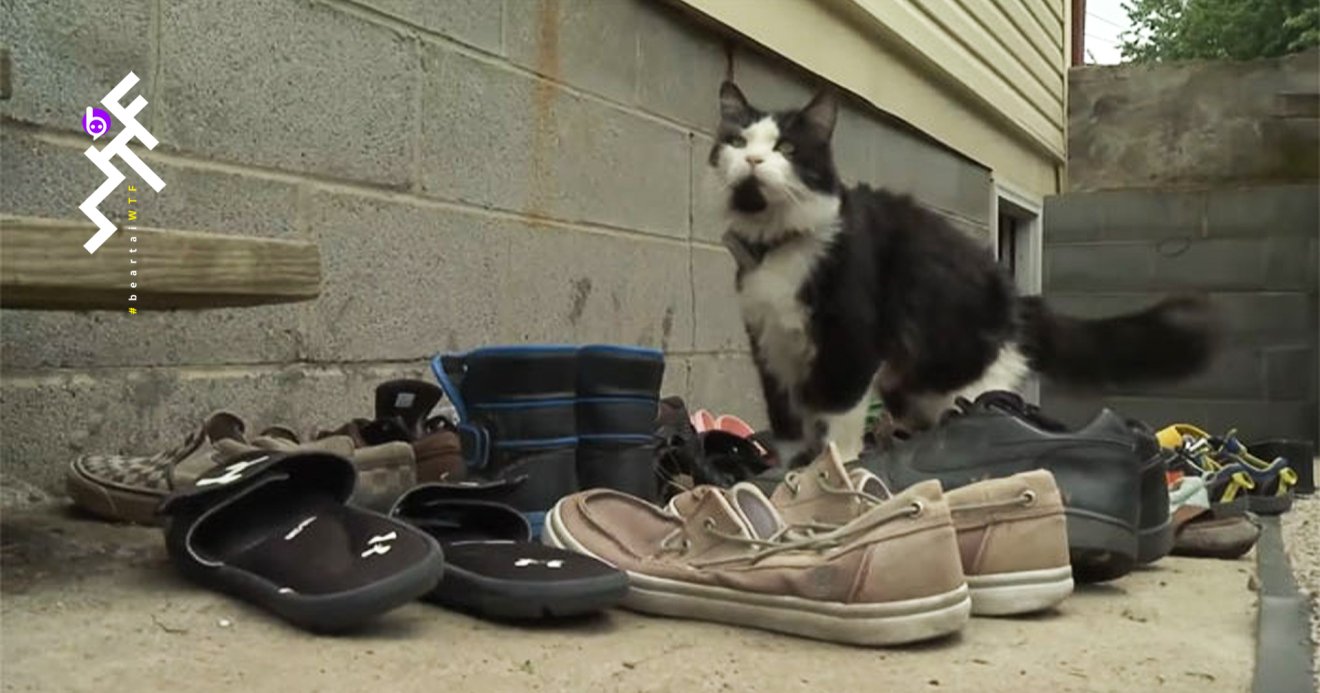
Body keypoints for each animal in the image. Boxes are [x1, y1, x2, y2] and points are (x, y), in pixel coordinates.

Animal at [709, 81, 1217, 465]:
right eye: (737, 143)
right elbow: (786, 425)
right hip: (913, 387)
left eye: (786, 148)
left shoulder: (851, 344)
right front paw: (787, 473)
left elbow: (838, 422)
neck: (779, 247)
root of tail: (1018, 299)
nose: (753, 161)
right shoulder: (769, 348)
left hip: (970, 376)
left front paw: (834, 471)